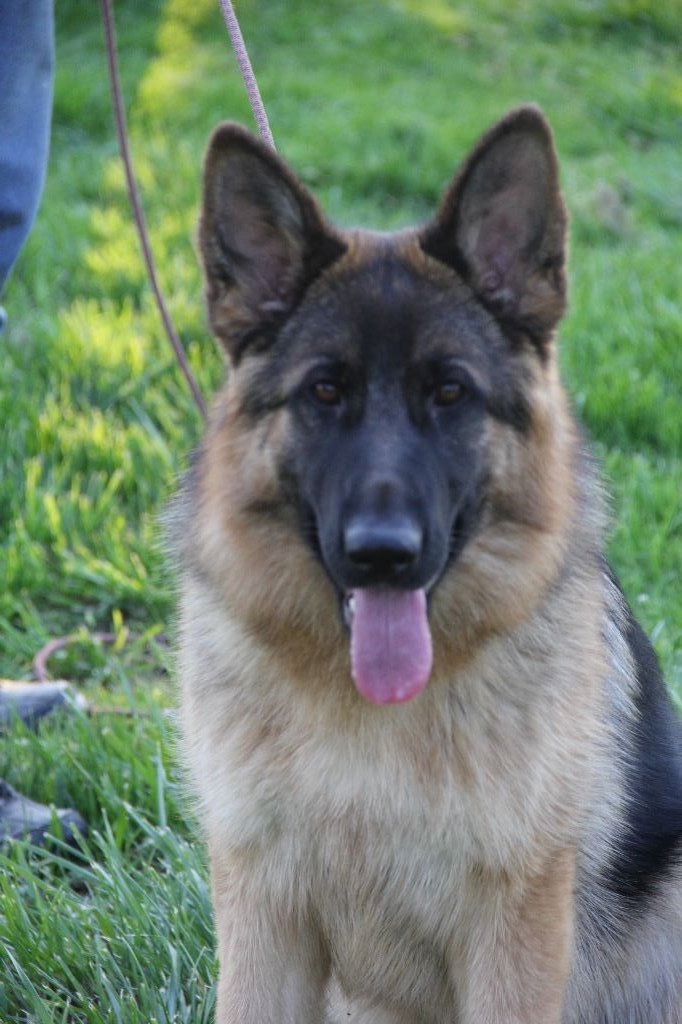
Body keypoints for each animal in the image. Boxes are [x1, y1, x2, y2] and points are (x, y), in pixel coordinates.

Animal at [174, 108, 679, 1019]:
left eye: (450, 393)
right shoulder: (264, 922)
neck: (364, 710)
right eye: (324, 392)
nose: (383, 557)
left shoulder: (513, 934)